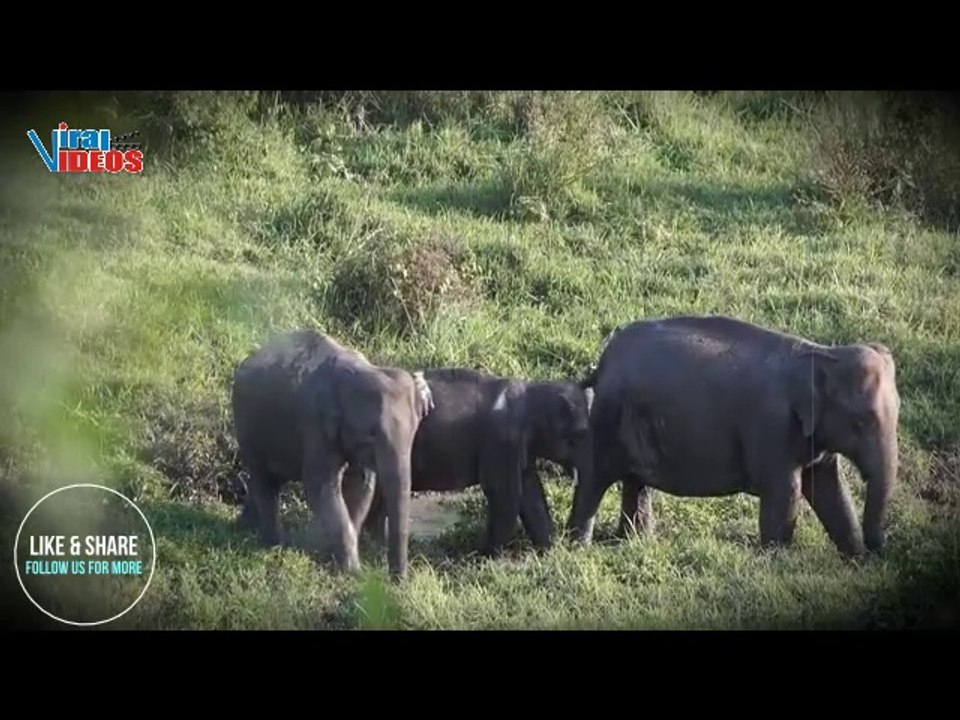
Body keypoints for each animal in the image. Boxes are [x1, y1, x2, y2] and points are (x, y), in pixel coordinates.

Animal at [231, 329, 434, 580]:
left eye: (415, 431)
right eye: (372, 434)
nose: (398, 581)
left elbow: (361, 484)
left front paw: (335, 558)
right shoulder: (314, 424)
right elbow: (318, 485)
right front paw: (353, 572)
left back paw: (244, 527)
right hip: (245, 425)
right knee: (263, 479)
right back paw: (271, 543)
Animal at [348, 368, 593, 555]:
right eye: (579, 435)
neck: (530, 392)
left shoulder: (519, 449)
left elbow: (532, 494)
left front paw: (549, 551)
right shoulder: (500, 441)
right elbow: (503, 496)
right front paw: (483, 556)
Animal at [567, 315, 901, 559]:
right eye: (860, 421)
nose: (878, 551)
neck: (821, 353)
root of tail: (602, 362)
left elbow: (830, 490)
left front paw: (855, 560)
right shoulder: (773, 427)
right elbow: (786, 492)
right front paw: (776, 561)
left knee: (636, 482)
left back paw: (635, 541)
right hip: (608, 418)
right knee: (595, 478)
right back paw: (576, 546)